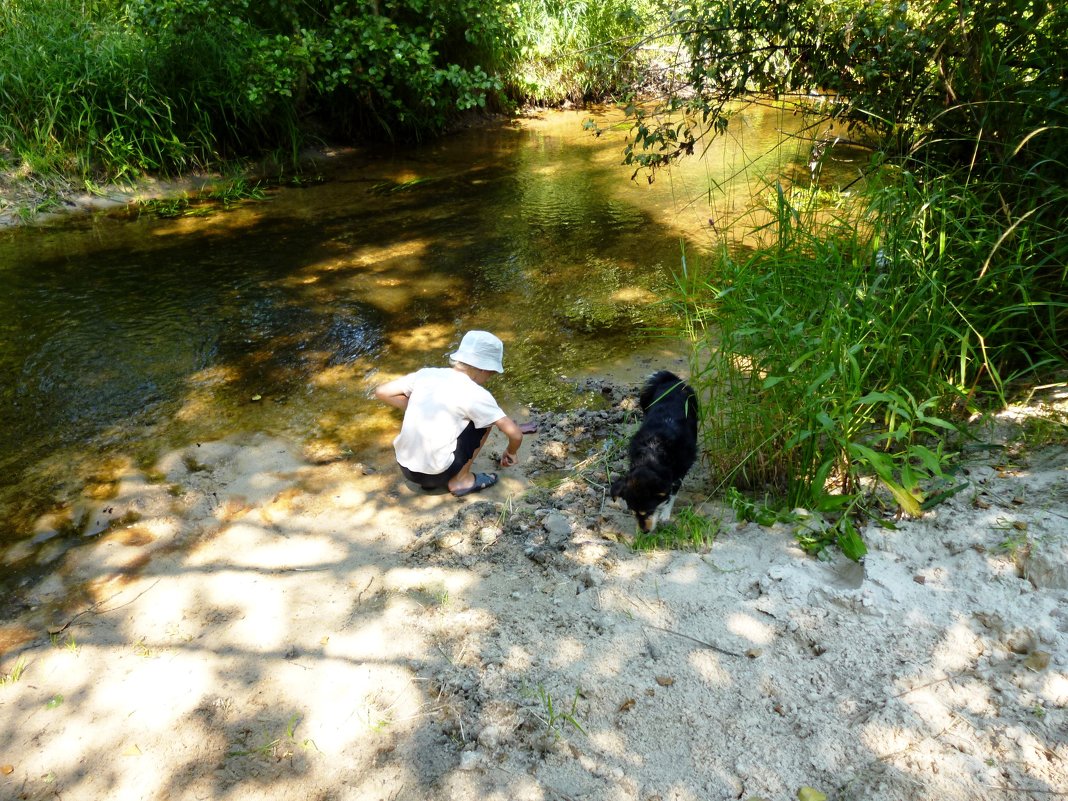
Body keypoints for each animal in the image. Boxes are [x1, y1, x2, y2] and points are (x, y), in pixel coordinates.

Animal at [615, 369, 696, 534]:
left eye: (649, 511)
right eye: (633, 512)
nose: (644, 532)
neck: (653, 452)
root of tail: (671, 379)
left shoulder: (680, 468)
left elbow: (672, 493)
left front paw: (665, 514)